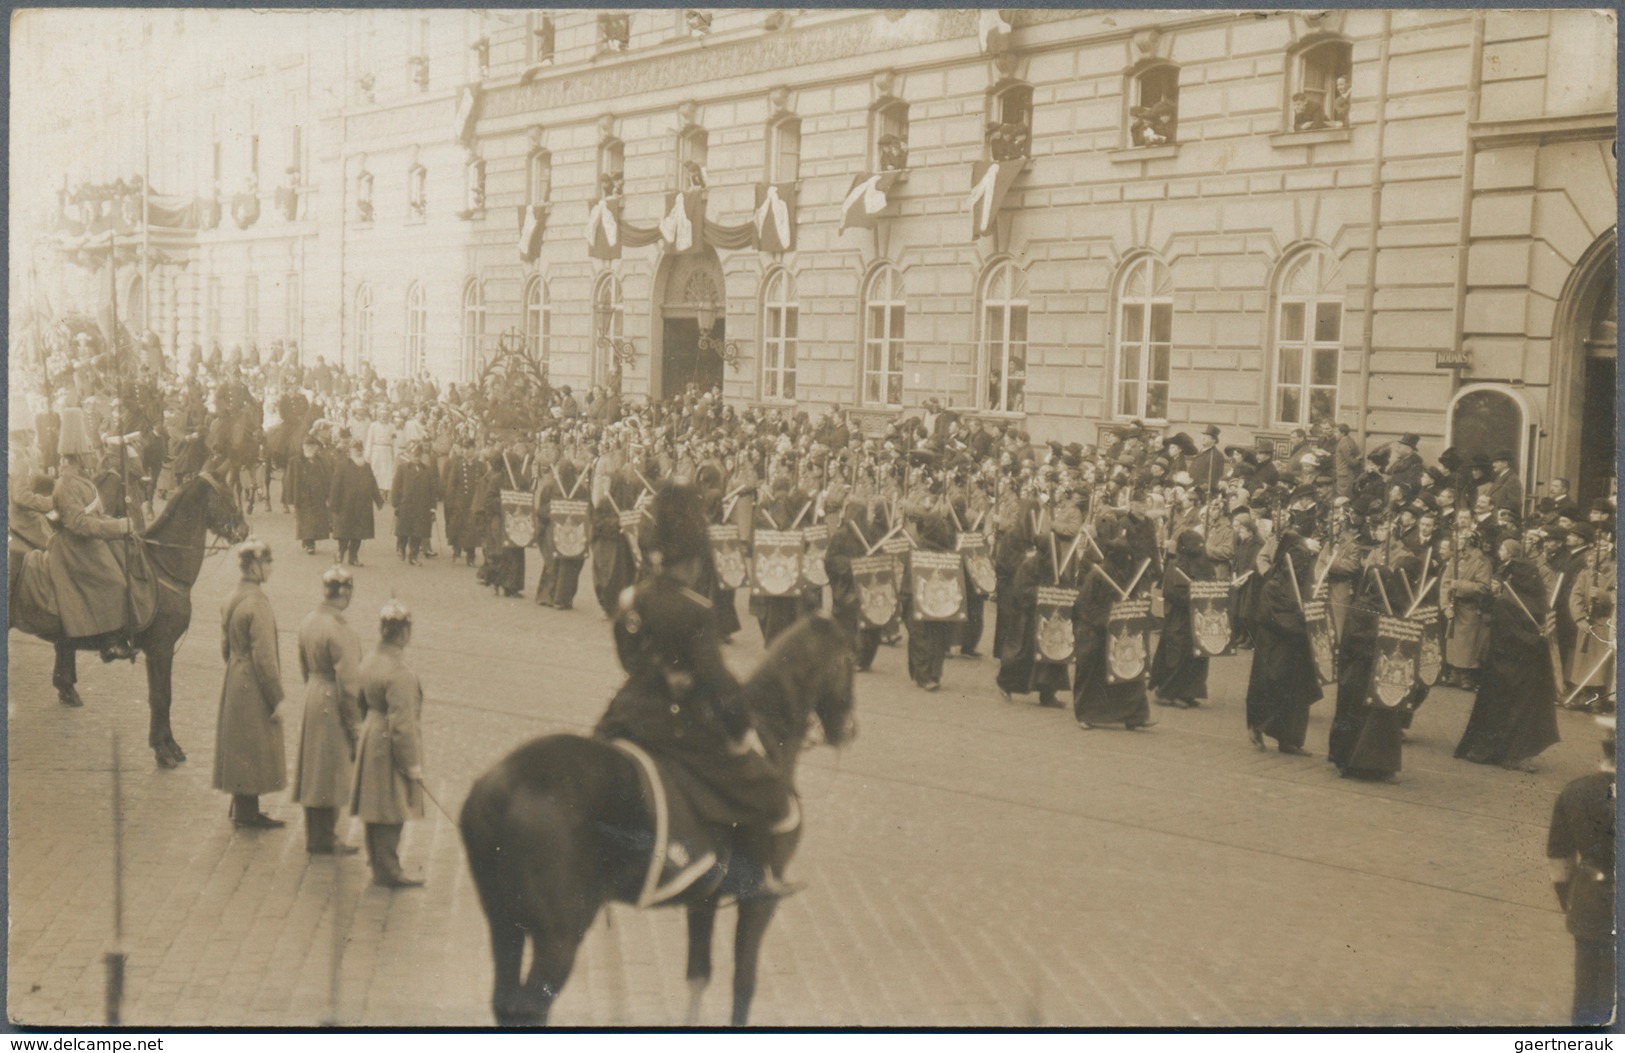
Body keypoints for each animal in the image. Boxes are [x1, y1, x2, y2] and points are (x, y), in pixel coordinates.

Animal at [31, 474, 248, 763]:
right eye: (229, 497)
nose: (245, 529)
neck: (162, 564)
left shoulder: (158, 650)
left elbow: (159, 696)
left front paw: (164, 745)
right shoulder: (160, 648)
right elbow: (161, 696)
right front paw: (165, 749)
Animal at [458, 614, 858, 1027]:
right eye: (851, 660)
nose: (849, 729)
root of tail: (501, 789)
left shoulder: (704, 898)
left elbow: (698, 976)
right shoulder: (758, 901)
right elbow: (743, 986)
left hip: (505, 924)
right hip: (558, 938)